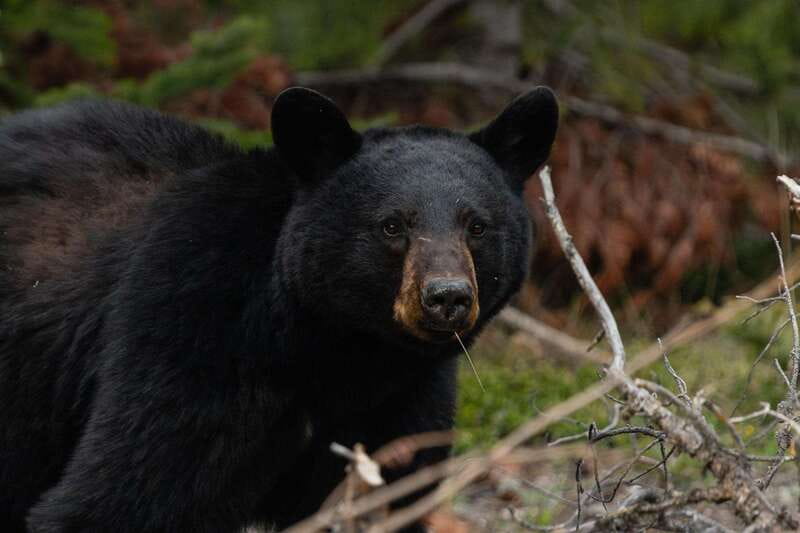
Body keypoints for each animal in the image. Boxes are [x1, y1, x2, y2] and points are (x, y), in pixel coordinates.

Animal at [0, 86, 558, 532]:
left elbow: (388, 497)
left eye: (477, 226)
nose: (446, 297)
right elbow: (121, 494)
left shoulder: (401, 403)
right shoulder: (193, 334)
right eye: (392, 225)